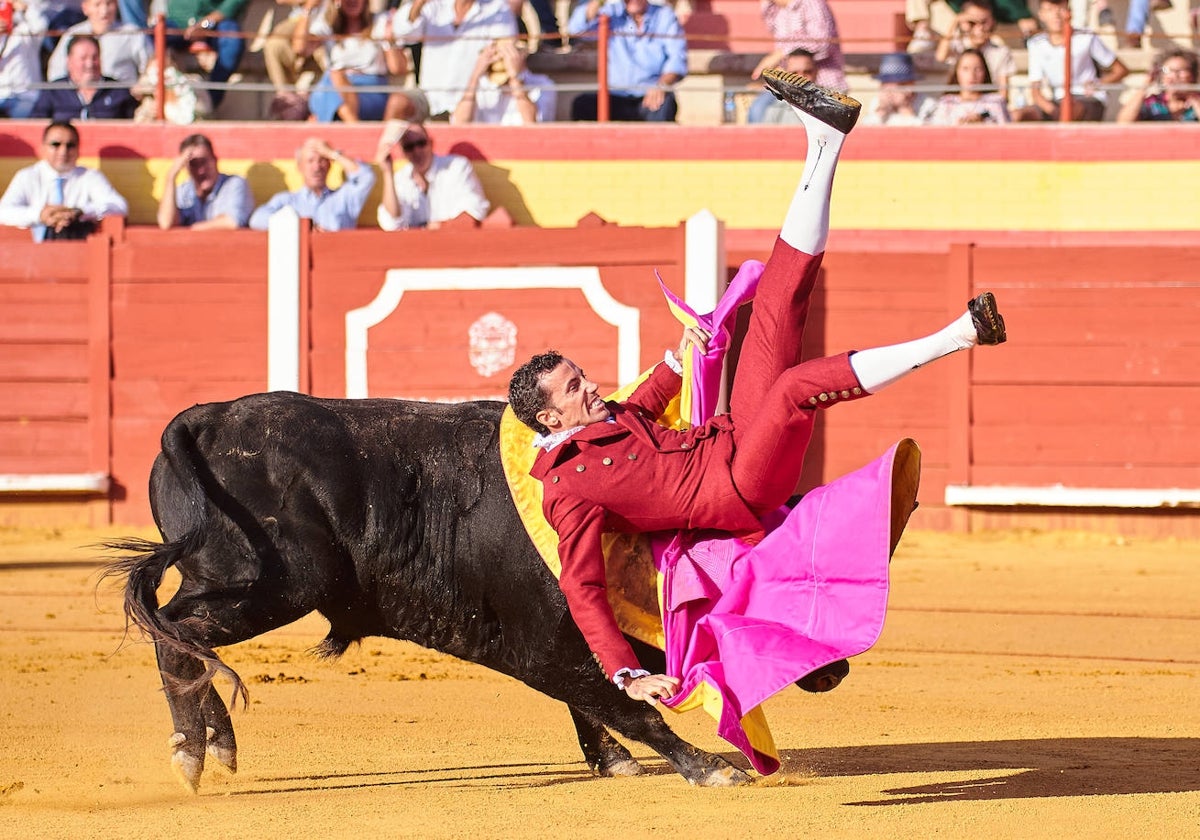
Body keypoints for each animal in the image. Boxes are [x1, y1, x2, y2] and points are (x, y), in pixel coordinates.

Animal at [108, 391, 753, 792]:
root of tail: (206, 418)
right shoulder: (542, 646)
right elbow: (624, 705)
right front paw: (710, 768)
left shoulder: (559, 647)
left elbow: (594, 703)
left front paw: (615, 763)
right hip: (274, 584)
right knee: (178, 633)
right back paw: (193, 752)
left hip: (234, 583)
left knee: (181, 636)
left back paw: (217, 745)